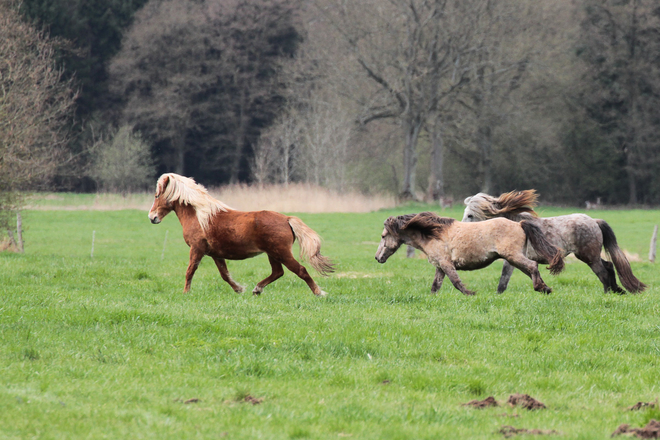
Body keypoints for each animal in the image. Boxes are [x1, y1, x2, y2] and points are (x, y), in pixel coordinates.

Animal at [150, 173, 336, 296]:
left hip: (281, 253)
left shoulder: (197, 249)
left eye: (157, 195)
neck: (199, 215)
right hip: (273, 254)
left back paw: (318, 293)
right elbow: (224, 275)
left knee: (300, 270)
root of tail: (286, 219)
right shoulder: (215, 254)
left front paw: (185, 292)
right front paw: (239, 289)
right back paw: (257, 289)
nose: (152, 217)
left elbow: (190, 271)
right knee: (278, 272)